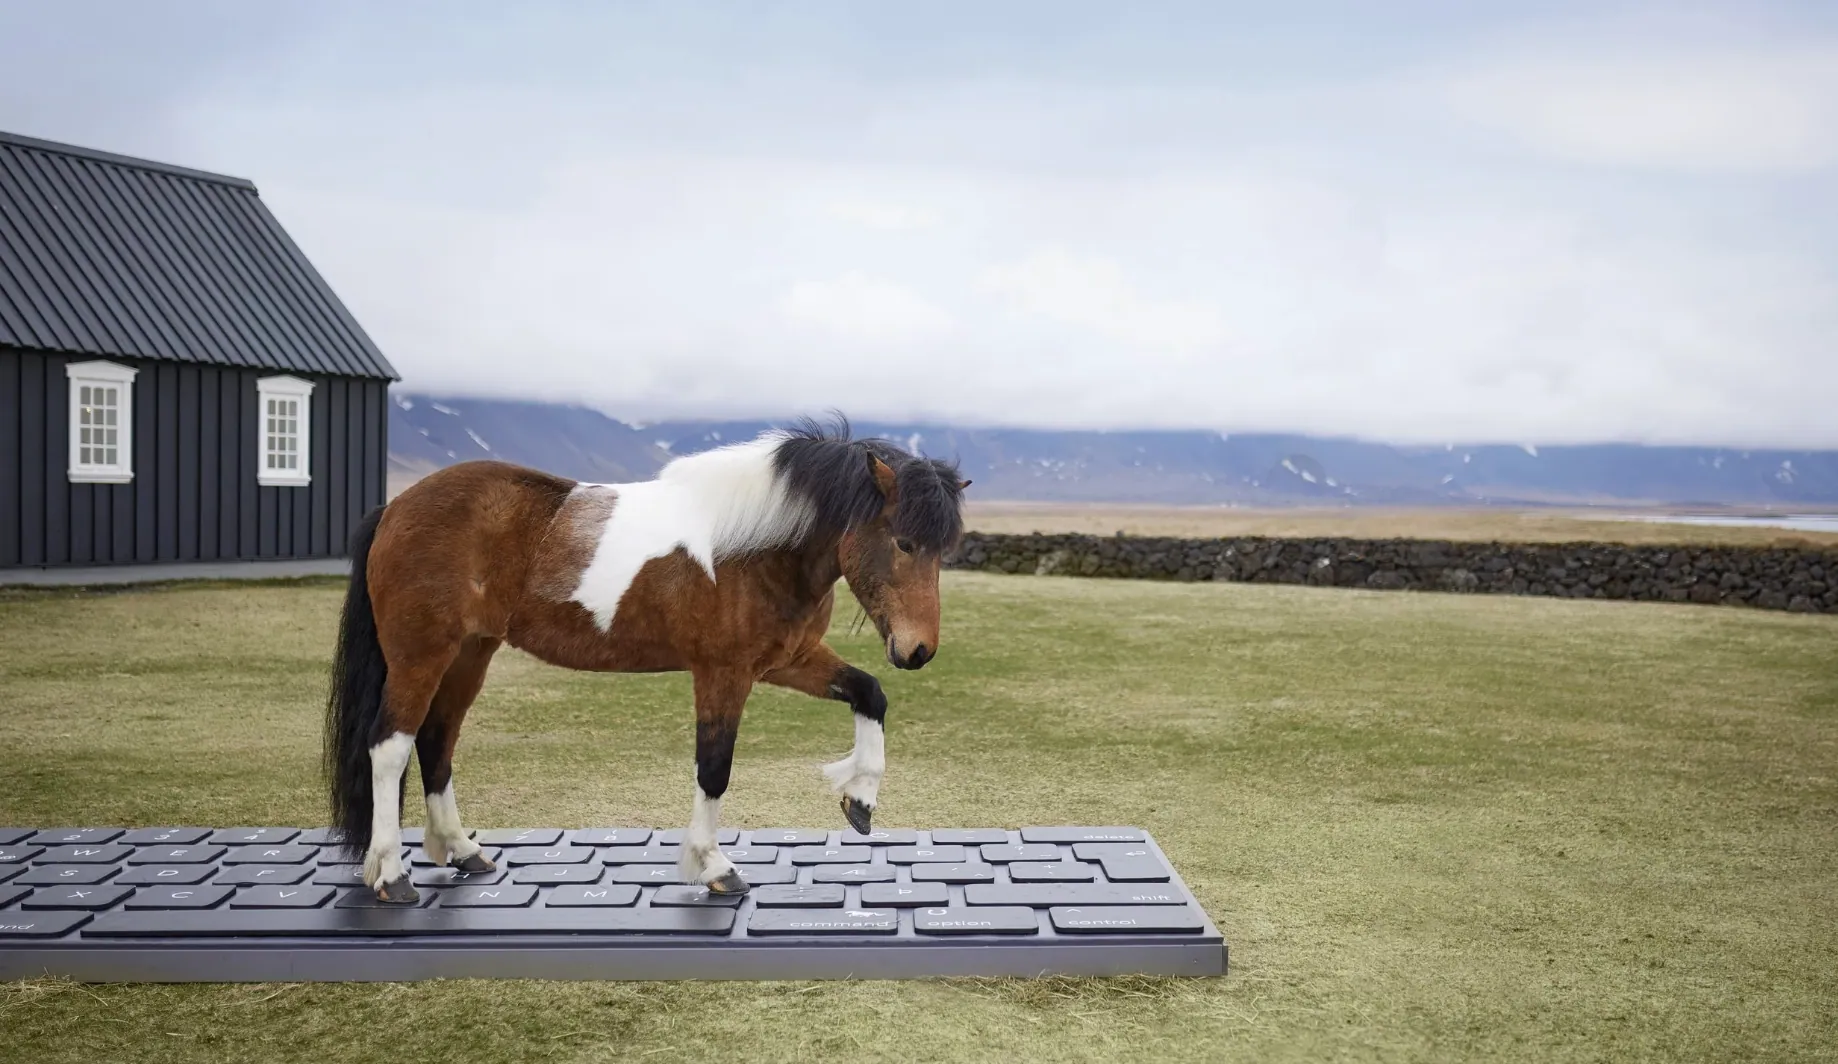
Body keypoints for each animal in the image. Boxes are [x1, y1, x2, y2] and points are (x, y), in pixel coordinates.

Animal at [323, 417, 970, 902]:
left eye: (945, 548)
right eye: (904, 542)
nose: (918, 650)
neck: (756, 546)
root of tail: (396, 507)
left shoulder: (789, 660)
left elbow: (869, 693)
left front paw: (860, 799)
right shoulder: (722, 675)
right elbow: (714, 768)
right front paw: (714, 866)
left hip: (469, 654)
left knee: (437, 740)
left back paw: (462, 850)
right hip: (421, 655)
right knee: (390, 747)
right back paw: (391, 874)